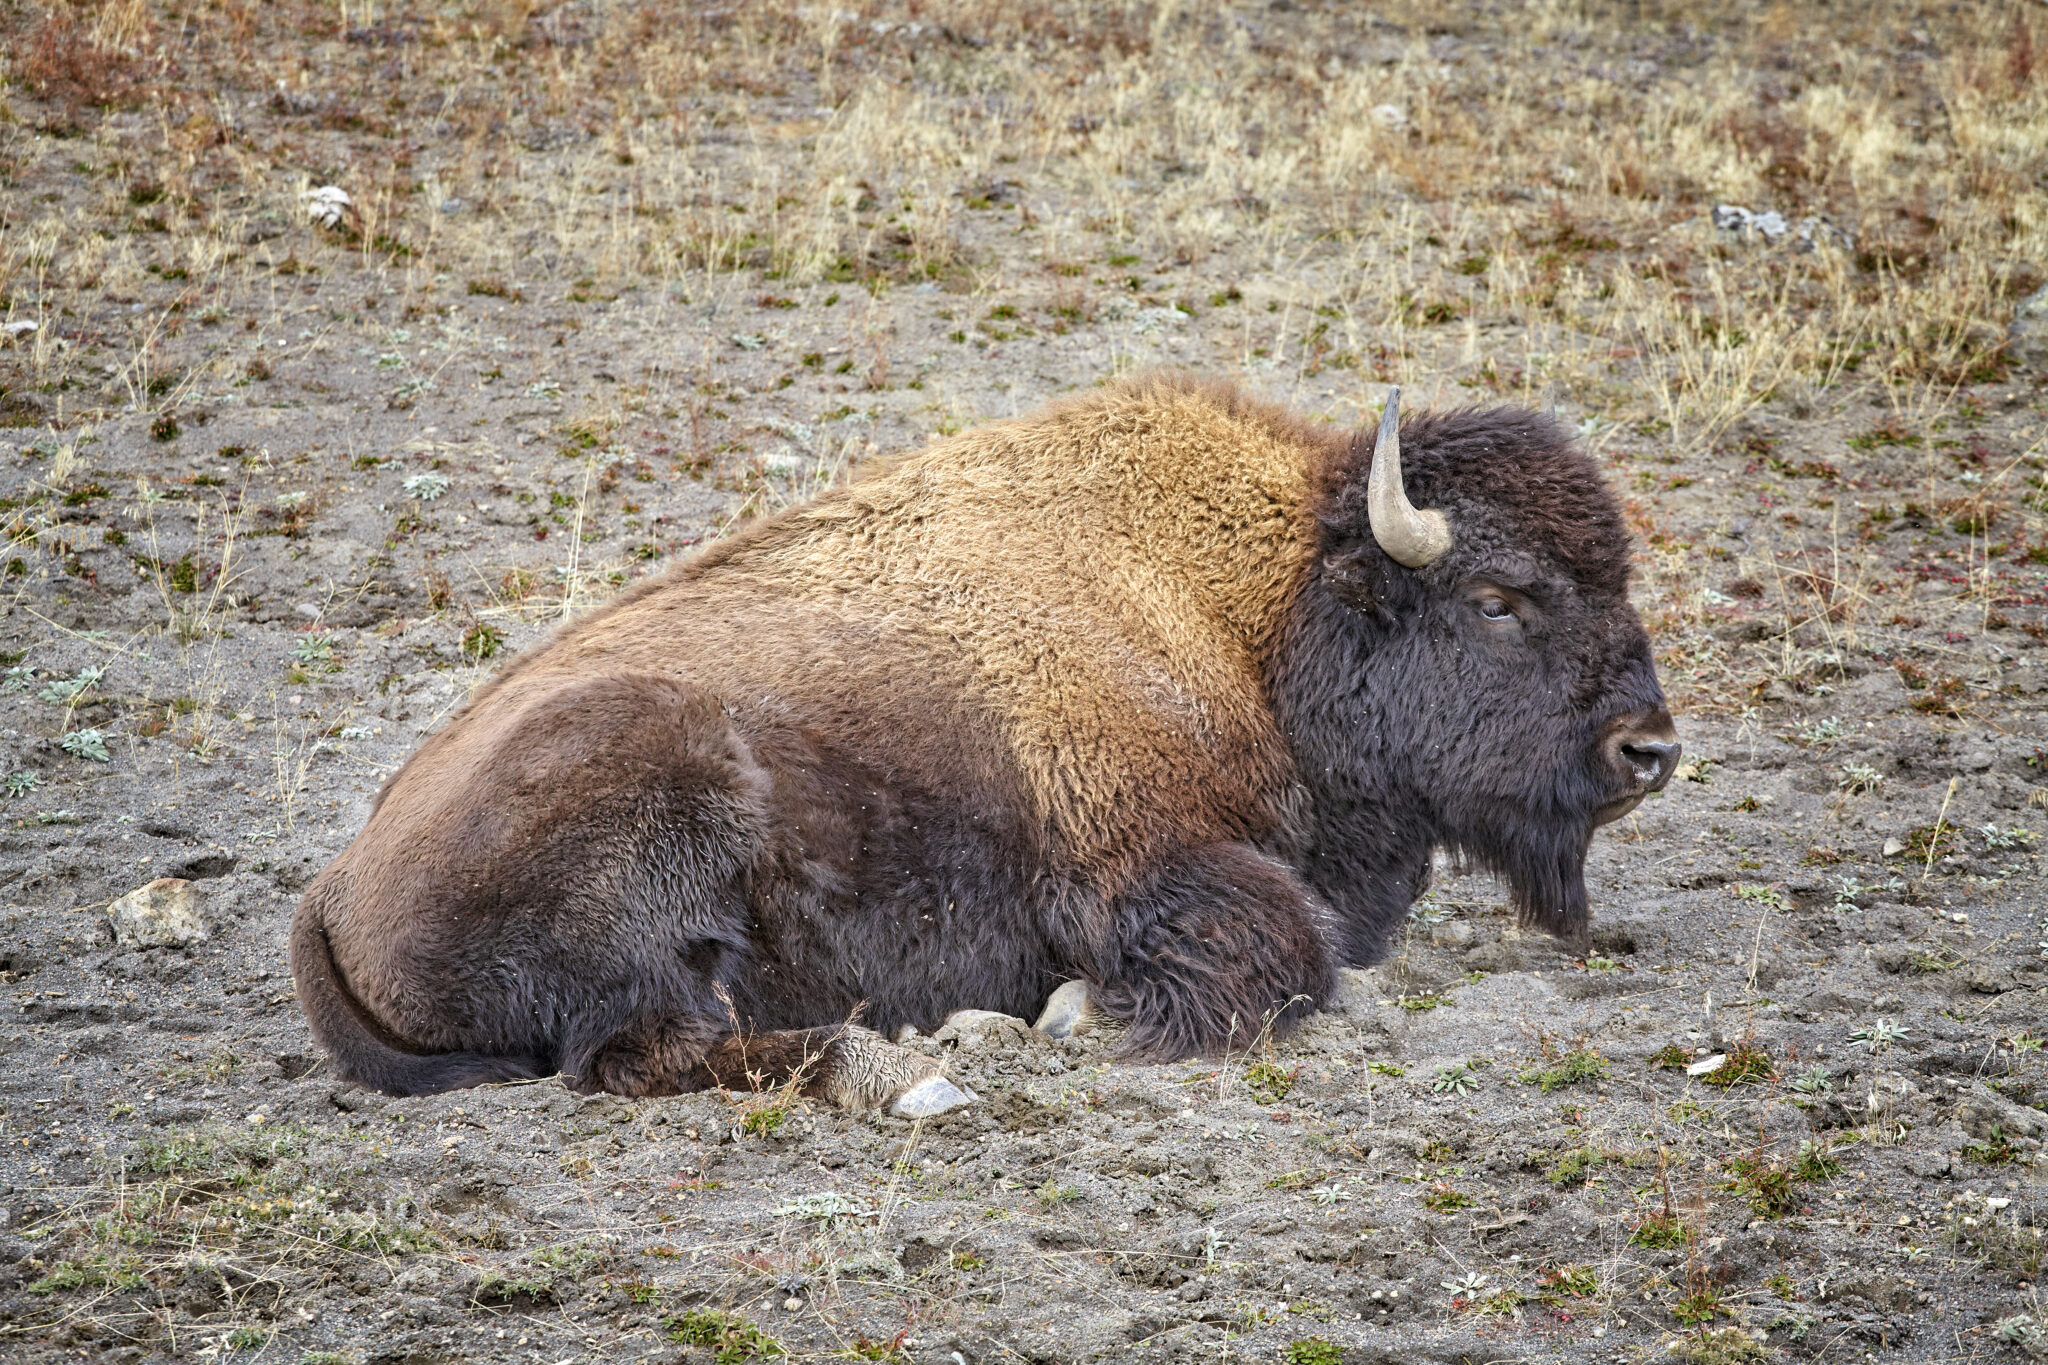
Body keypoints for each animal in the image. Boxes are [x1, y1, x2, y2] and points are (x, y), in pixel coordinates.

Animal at [299, 374, 1679, 1113]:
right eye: (1498, 599)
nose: (1648, 751)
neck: (1251, 610)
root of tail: (331, 891)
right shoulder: (1139, 862)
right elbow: (1287, 949)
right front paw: (1068, 1014)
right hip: (656, 795)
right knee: (637, 1053)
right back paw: (905, 1060)